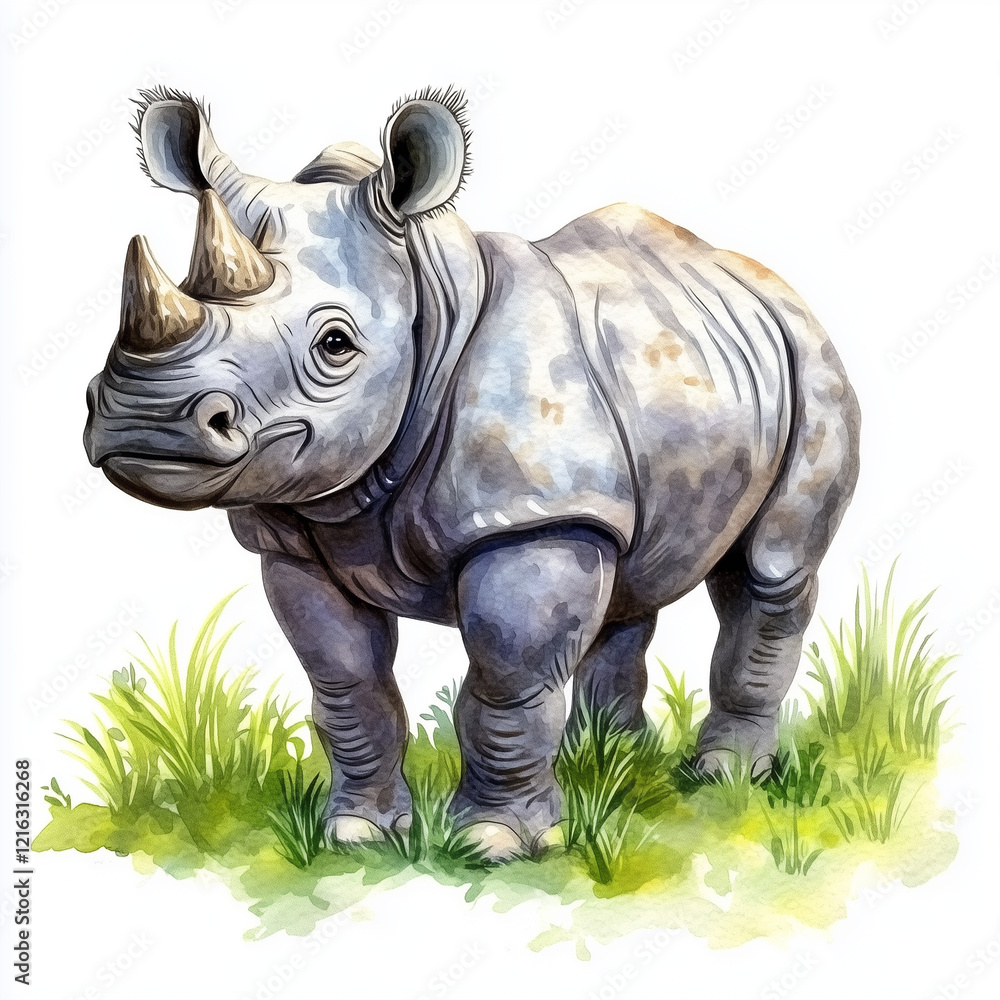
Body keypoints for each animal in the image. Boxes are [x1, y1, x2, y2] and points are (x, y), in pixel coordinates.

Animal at [84, 85, 860, 860]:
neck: (430, 297)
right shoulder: (293, 536)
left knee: (768, 569)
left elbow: (507, 684)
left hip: (810, 360)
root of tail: (756, 279)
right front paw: (359, 834)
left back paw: (724, 777)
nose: (145, 417)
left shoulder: (532, 518)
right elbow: (348, 682)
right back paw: (606, 763)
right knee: (632, 579)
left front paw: (494, 844)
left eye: (335, 345)